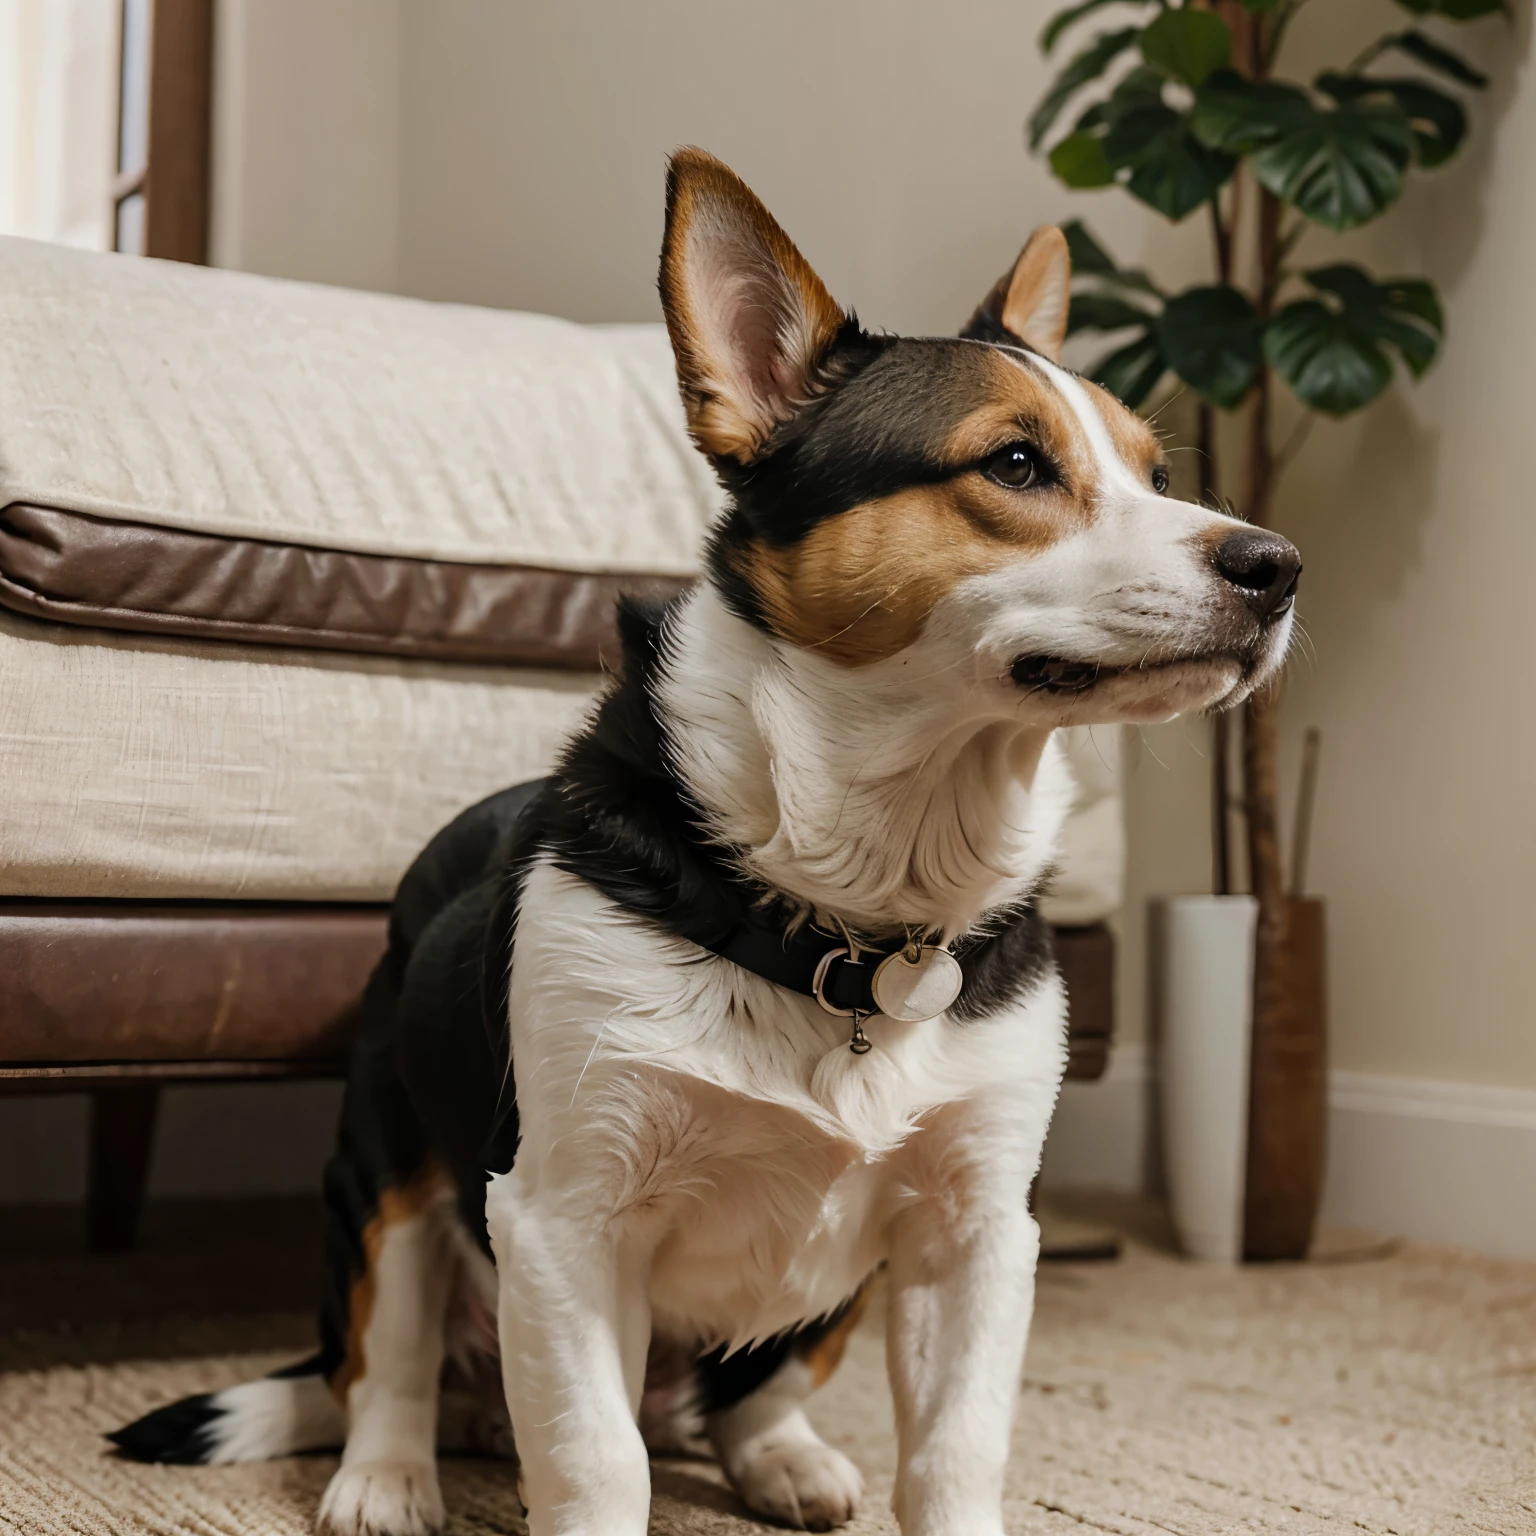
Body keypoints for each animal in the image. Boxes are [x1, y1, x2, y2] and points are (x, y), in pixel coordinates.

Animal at [116, 146, 1296, 1536]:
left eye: (1158, 475)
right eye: (1014, 463)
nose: (1280, 566)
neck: (859, 906)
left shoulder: (977, 1228)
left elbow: (953, 1454)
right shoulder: (563, 1214)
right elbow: (593, 1460)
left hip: (821, 1309)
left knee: (744, 1399)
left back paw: (782, 1457)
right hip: (384, 1166)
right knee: (388, 1361)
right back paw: (386, 1476)